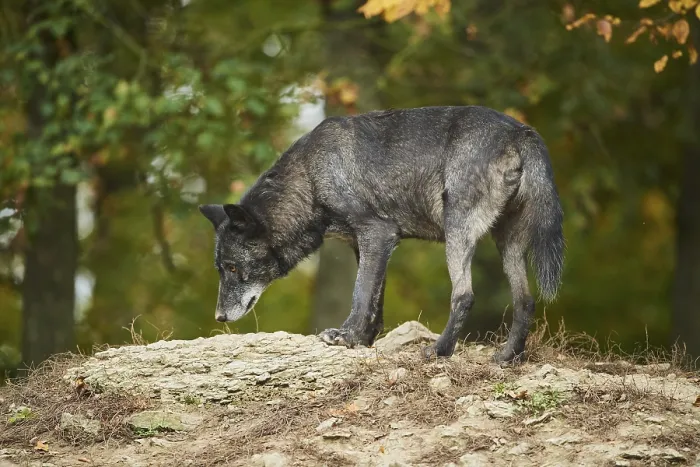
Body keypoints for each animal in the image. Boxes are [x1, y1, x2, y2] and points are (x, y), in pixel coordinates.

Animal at [198, 105, 564, 363]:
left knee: (464, 295)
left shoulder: (377, 233)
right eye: (220, 269)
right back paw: (508, 357)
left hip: (457, 231)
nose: (219, 317)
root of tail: (520, 131)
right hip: (507, 243)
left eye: (232, 267)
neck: (311, 176)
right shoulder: (368, 245)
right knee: (525, 299)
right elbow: (376, 298)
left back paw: (440, 350)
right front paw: (363, 340)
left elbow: (361, 293)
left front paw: (346, 336)